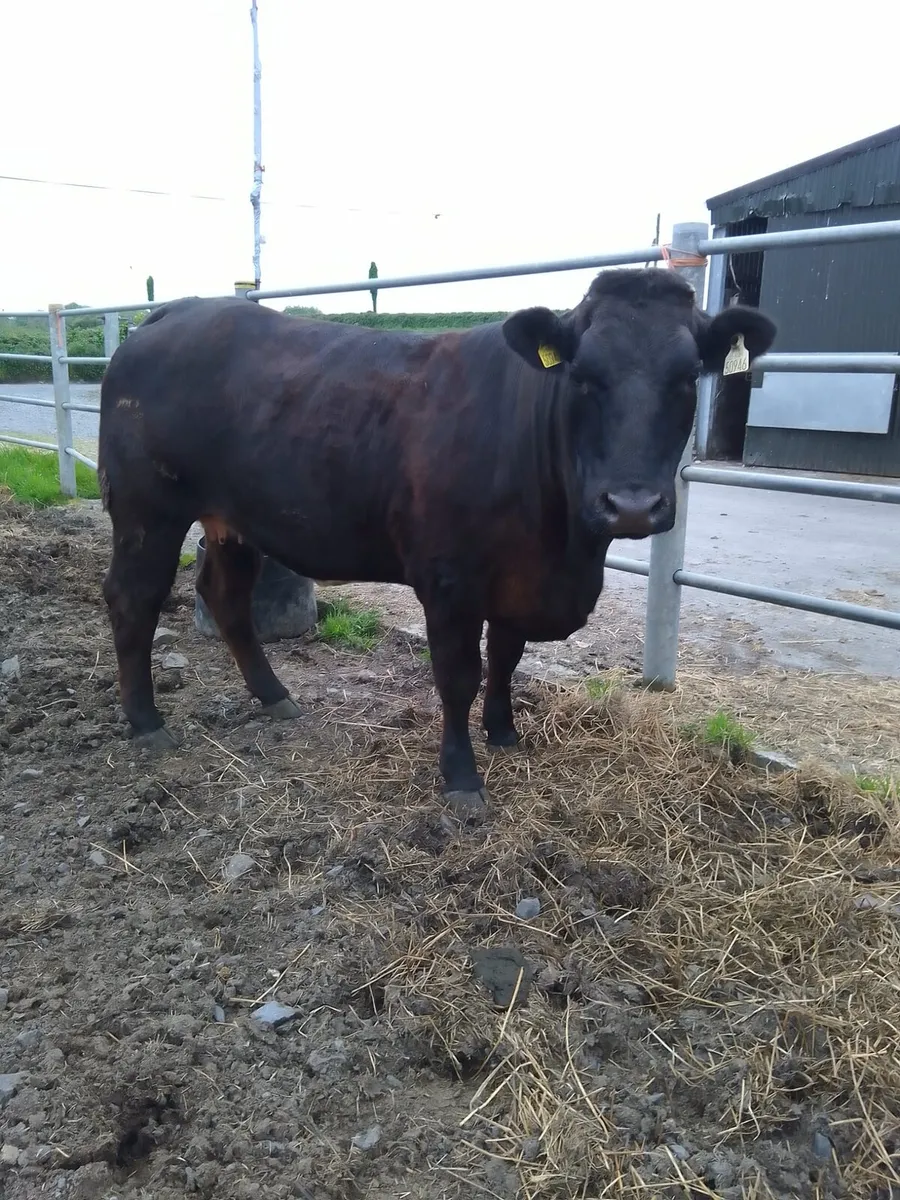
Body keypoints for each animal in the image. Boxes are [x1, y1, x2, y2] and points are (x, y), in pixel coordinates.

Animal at [97, 269, 776, 818]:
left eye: (687, 377)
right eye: (583, 375)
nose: (632, 505)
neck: (564, 551)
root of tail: (175, 311)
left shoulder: (516, 580)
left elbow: (507, 657)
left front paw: (503, 733)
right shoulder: (450, 581)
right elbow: (458, 675)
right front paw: (462, 777)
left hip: (231, 521)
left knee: (226, 598)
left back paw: (275, 697)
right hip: (146, 511)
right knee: (134, 598)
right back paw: (146, 722)